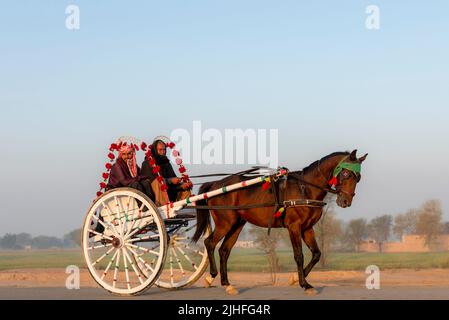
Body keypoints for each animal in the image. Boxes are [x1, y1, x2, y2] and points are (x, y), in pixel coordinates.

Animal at [191, 149, 366, 294]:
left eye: (358, 177)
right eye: (346, 174)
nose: (345, 201)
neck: (304, 189)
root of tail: (216, 184)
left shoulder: (307, 228)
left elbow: (316, 254)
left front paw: (296, 278)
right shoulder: (294, 227)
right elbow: (299, 255)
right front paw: (304, 284)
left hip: (237, 224)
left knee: (224, 250)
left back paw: (227, 284)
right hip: (225, 223)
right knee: (209, 243)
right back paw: (211, 276)